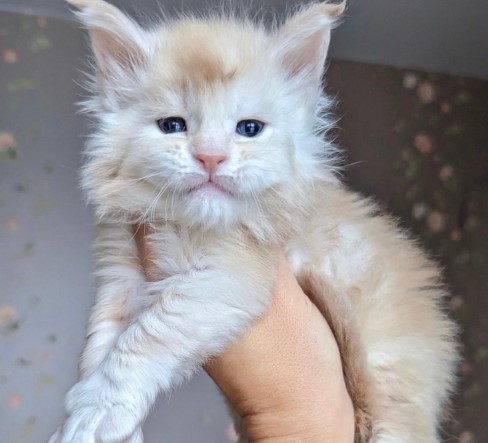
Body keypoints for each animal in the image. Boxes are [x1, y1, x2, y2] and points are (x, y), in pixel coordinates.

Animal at [49, 0, 458, 443]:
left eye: (249, 129)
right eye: (172, 125)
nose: (211, 157)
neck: (190, 225)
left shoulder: (223, 282)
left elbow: (145, 340)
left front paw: (100, 411)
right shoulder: (121, 279)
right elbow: (100, 345)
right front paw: (86, 421)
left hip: (394, 398)